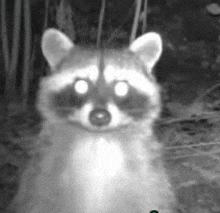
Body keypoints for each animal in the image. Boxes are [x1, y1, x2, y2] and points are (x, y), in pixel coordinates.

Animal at [9, 28, 175, 213]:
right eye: (81, 85)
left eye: (121, 87)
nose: (100, 116)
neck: (98, 140)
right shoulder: (40, 178)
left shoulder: (150, 181)